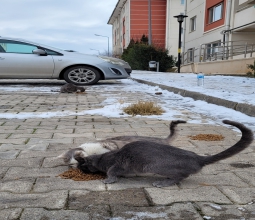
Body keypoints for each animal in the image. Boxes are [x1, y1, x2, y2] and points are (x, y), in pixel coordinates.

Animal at [74, 120, 254, 187]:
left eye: (82, 167)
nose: (80, 169)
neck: (104, 157)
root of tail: (197, 158)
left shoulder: (117, 165)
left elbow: (112, 172)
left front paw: (108, 179)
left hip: (157, 166)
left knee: (181, 176)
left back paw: (163, 182)